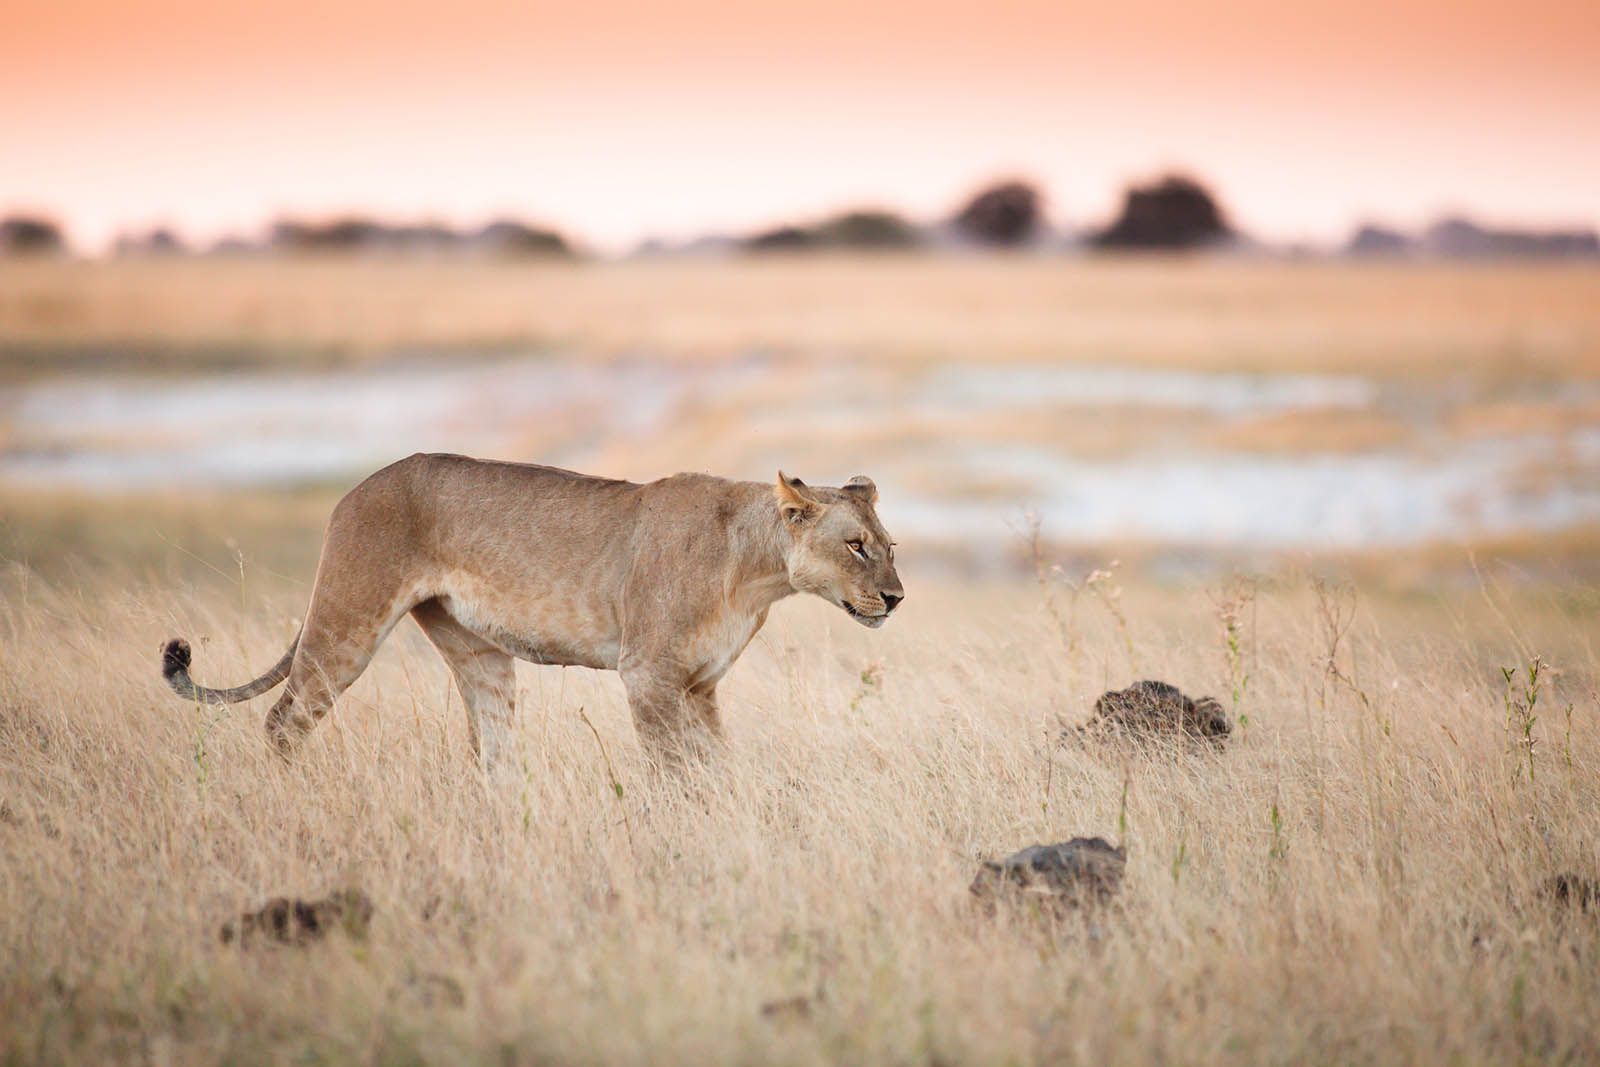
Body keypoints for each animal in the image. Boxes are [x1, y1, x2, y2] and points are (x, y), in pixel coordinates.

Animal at [161, 455, 904, 770]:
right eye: (856, 545)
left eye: (890, 547)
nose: (896, 598)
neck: (758, 572)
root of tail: (356, 488)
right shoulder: (649, 674)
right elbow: (673, 771)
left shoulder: (700, 685)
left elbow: (716, 764)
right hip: (348, 620)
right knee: (284, 720)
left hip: (479, 653)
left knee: (491, 748)